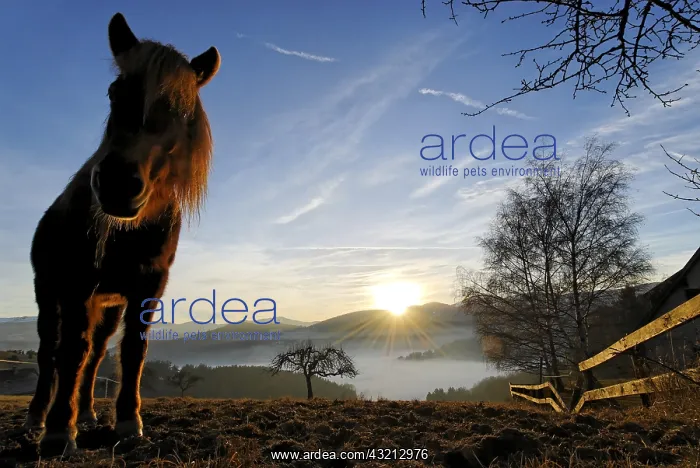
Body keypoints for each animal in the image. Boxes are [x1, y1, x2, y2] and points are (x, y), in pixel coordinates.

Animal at [24, 12, 220, 453]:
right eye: (114, 93)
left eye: (181, 111)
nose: (117, 183)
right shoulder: (77, 281)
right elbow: (70, 352)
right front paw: (60, 430)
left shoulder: (148, 285)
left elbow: (132, 351)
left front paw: (129, 422)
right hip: (48, 291)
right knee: (50, 352)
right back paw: (37, 418)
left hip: (109, 304)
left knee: (97, 354)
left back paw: (88, 413)